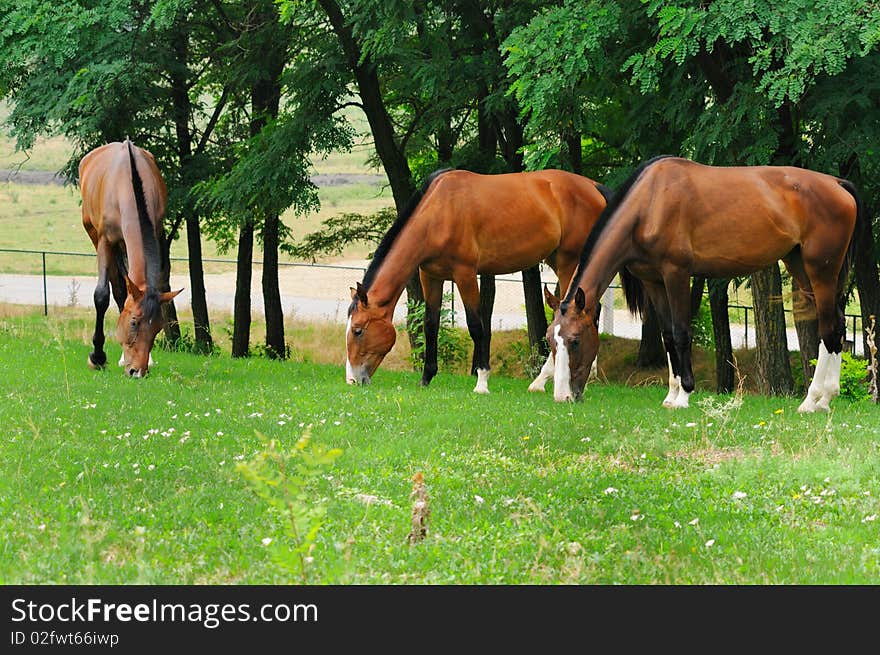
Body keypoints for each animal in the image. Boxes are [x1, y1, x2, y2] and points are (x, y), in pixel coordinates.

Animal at [80, 142, 181, 380]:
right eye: (134, 322)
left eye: (157, 328)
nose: (137, 371)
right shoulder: (105, 241)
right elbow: (102, 295)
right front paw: (97, 357)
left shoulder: (155, 232)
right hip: (95, 233)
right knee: (117, 290)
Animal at [348, 169, 608, 394]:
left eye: (358, 330)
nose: (352, 379)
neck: (440, 211)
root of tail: (593, 187)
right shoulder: (430, 276)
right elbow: (430, 325)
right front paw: (426, 378)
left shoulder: (465, 274)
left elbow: (476, 326)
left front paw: (481, 381)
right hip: (557, 260)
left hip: (569, 263)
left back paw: (550, 379)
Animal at [552, 154, 860, 412]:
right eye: (550, 341)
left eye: (575, 341)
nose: (562, 397)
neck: (650, 203)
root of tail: (837, 183)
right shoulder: (653, 281)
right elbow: (667, 335)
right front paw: (671, 394)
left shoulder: (676, 274)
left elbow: (680, 333)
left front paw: (684, 395)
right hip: (800, 267)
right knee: (837, 325)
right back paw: (824, 399)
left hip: (821, 272)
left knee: (828, 329)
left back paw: (813, 400)